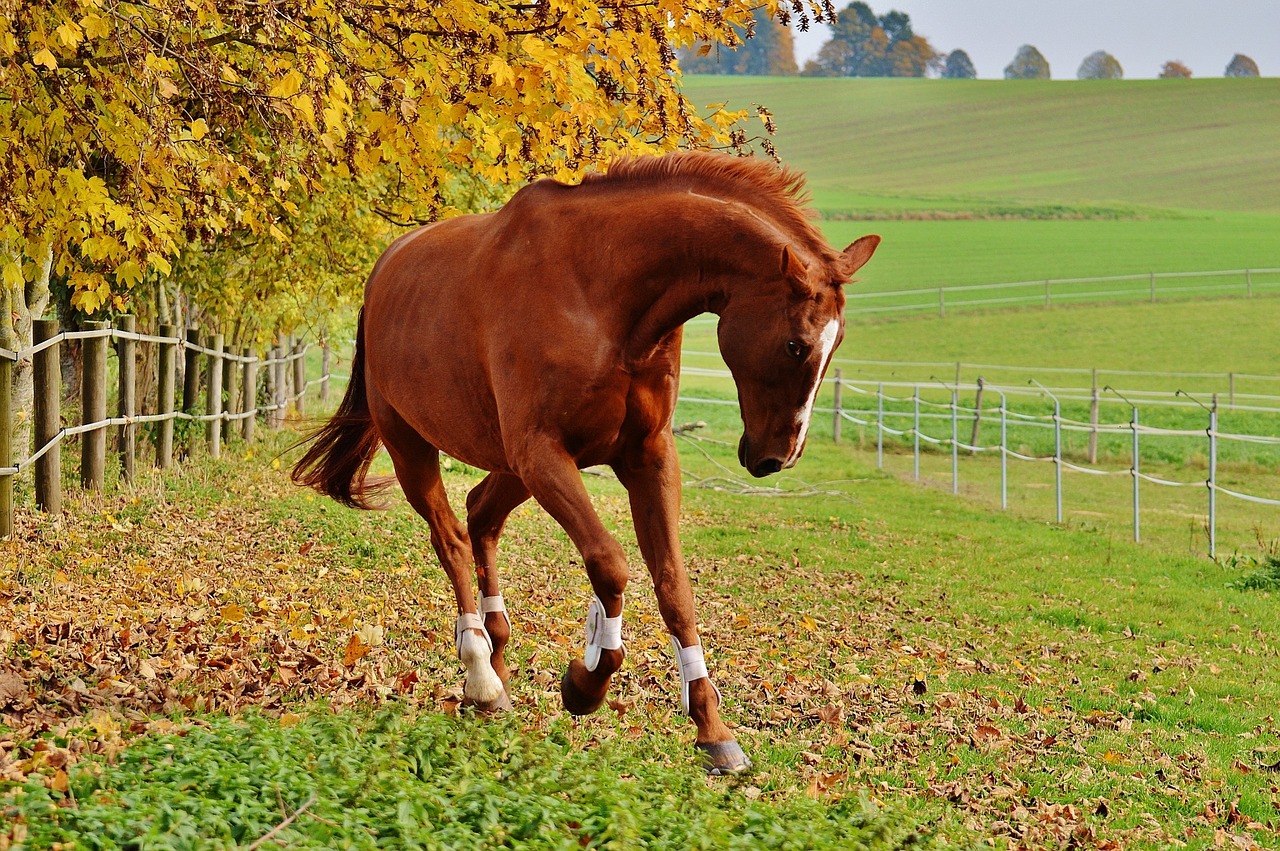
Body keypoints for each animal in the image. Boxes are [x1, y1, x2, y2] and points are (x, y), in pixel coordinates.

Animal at [294, 149, 880, 772]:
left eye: (836, 345)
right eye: (797, 344)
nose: (777, 457)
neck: (601, 293)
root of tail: (384, 271)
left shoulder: (646, 458)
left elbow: (674, 587)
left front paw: (712, 729)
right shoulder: (544, 453)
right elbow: (611, 565)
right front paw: (585, 682)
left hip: (510, 468)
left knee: (480, 514)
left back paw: (498, 664)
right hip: (414, 448)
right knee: (451, 538)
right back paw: (481, 675)